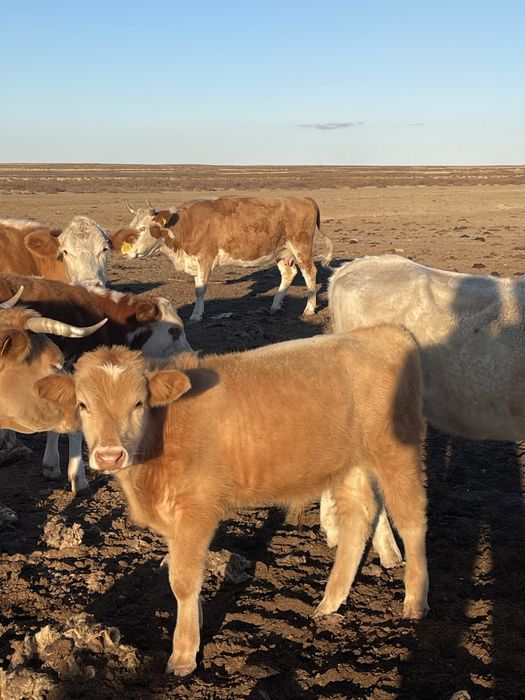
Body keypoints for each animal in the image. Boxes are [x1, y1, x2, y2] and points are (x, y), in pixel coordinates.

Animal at [37, 325, 429, 675]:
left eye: (138, 403)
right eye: (83, 405)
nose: (109, 455)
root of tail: (384, 332)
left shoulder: (196, 510)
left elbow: (183, 581)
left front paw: (183, 654)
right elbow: (186, 576)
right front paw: (194, 626)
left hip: (397, 450)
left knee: (412, 520)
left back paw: (414, 600)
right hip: (348, 464)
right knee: (358, 519)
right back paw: (329, 603)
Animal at [112, 196, 333, 321]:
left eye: (143, 228)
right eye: (131, 225)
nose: (126, 252)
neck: (185, 226)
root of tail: (305, 199)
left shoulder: (205, 259)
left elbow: (200, 290)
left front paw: (196, 315)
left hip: (301, 247)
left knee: (309, 273)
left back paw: (309, 309)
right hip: (282, 252)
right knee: (289, 273)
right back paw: (275, 305)